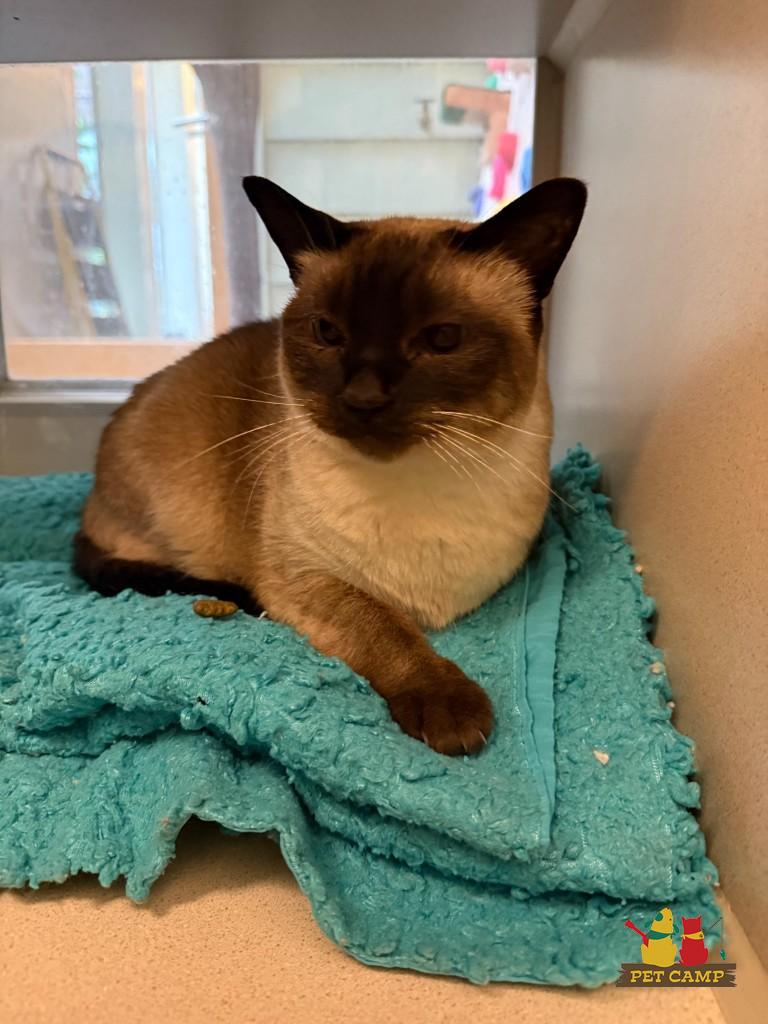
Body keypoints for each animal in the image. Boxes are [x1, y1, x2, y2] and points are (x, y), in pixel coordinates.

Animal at [74, 175, 586, 756]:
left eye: (443, 339)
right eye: (327, 332)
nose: (363, 397)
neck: (414, 483)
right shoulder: (305, 579)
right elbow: (385, 627)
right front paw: (452, 713)